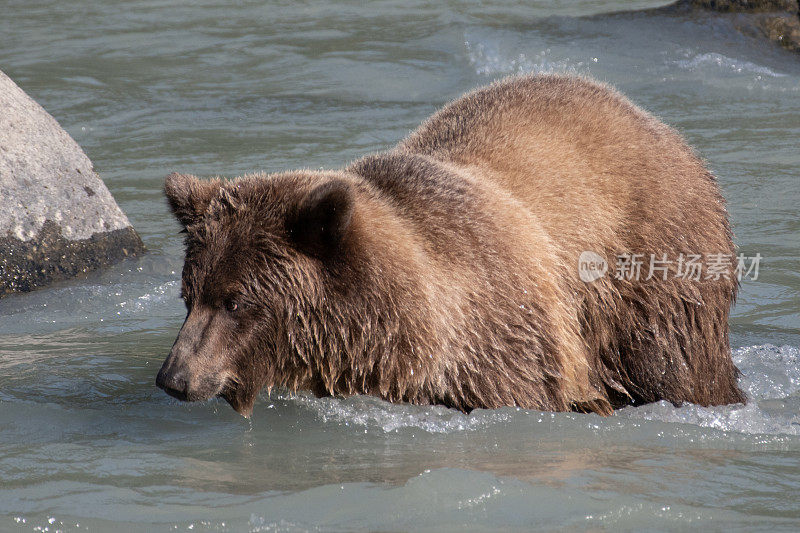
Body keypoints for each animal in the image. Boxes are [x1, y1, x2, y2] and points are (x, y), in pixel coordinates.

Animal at [156, 74, 744, 416]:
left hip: (654, 270)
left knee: (677, 364)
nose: (174, 378)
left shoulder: (513, 352)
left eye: (236, 301)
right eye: (189, 294)